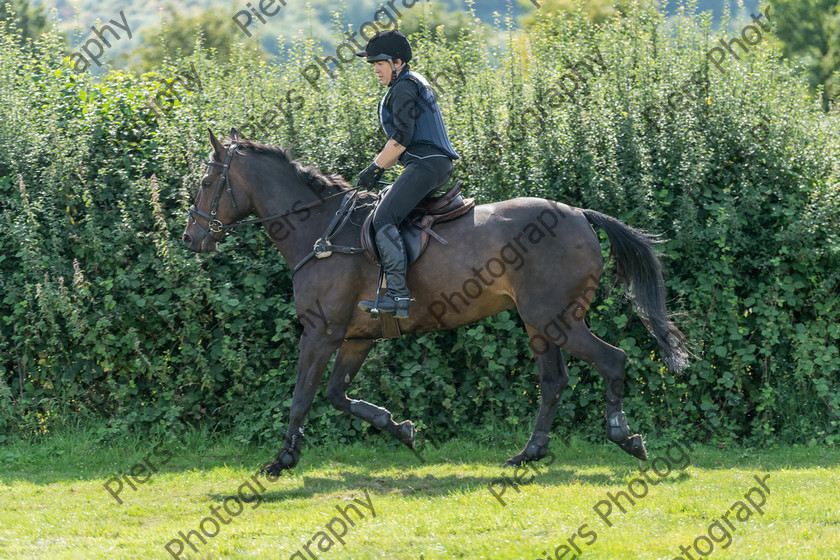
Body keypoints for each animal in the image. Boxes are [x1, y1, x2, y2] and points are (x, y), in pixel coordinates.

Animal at [180, 129, 684, 474]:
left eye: (206, 181)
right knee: (554, 382)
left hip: (554, 318)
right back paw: (529, 453)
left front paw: (282, 460)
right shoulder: (356, 337)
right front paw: (402, 431)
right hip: (540, 324)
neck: (320, 230)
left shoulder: (321, 332)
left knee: (611, 361)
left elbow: (302, 396)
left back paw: (625, 438)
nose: (190, 239)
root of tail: (579, 214)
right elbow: (337, 394)